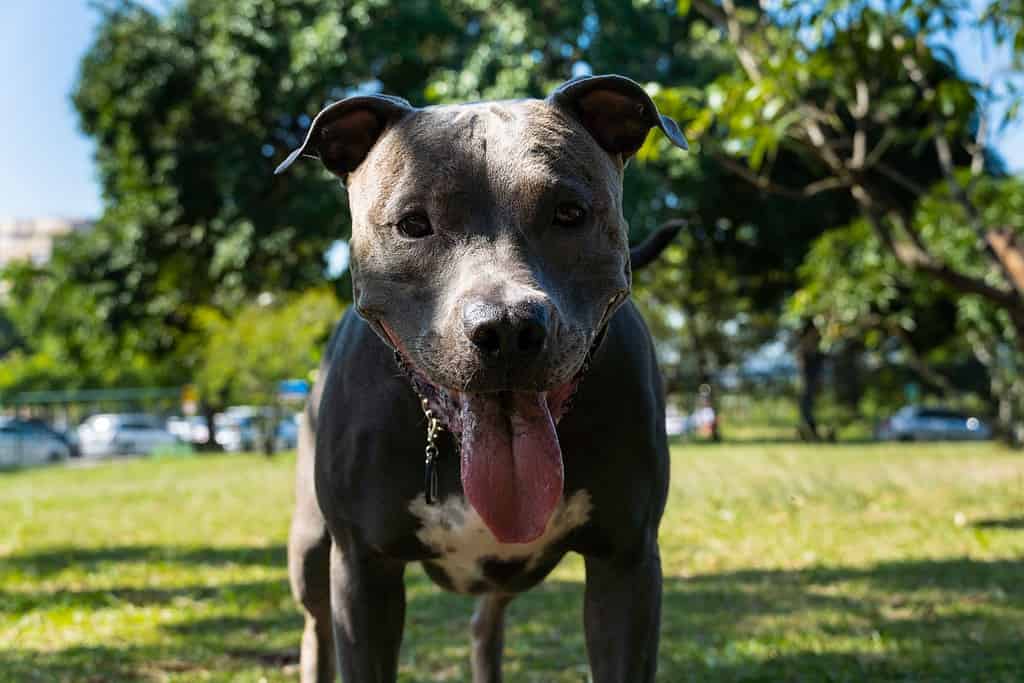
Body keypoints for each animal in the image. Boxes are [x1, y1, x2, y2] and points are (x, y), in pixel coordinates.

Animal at [276, 74, 688, 683]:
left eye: (569, 213)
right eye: (413, 225)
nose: (508, 328)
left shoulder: (627, 562)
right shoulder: (363, 569)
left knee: (484, 624)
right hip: (310, 550)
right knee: (317, 627)